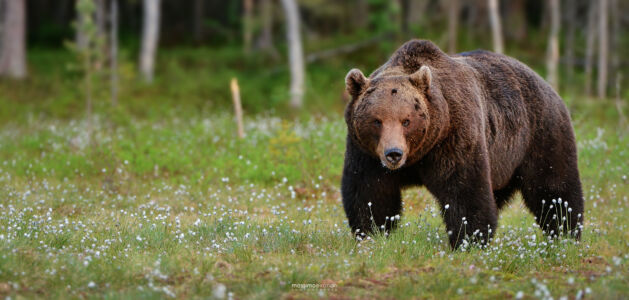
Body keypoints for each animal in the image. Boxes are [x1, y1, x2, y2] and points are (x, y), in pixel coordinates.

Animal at [344, 39, 584, 248]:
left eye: (406, 120)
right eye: (377, 120)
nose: (393, 153)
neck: (419, 153)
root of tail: (545, 83)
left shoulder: (453, 136)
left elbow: (463, 188)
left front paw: (468, 239)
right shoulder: (367, 153)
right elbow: (371, 193)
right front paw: (372, 233)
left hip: (540, 133)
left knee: (553, 187)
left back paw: (566, 232)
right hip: (502, 161)